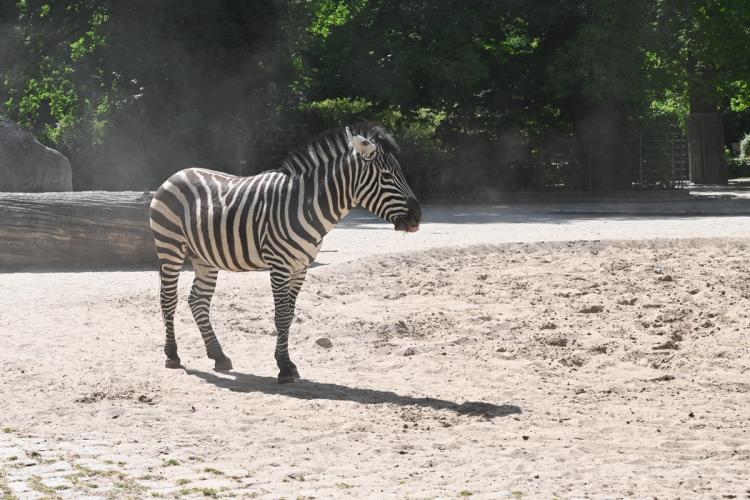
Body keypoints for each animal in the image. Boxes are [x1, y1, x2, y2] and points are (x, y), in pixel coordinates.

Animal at [149, 124, 420, 382]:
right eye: (386, 175)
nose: (417, 217)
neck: (306, 205)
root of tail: (177, 174)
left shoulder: (301, 267)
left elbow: (289, 316)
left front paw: (289, 363)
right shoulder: (279, 265)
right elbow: (280, 316)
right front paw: (284, 368)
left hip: (204, 256)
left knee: (198, 300)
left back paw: (218, 356)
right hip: (170, 246)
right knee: (168, 299)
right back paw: (172, 355)